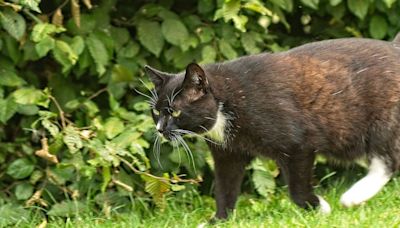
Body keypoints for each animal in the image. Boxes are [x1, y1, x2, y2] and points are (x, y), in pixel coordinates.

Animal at [145, 33, 400, 219]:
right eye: (156, 111)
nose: (160, 129)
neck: (228, 99)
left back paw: (353, 196)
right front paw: (217, 221)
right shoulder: (228, 154)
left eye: (175, 111)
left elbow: (297, 190)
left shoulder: (298, 145)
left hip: (380, 123)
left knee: (388, 160)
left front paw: (320, 208)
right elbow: (224, 189)